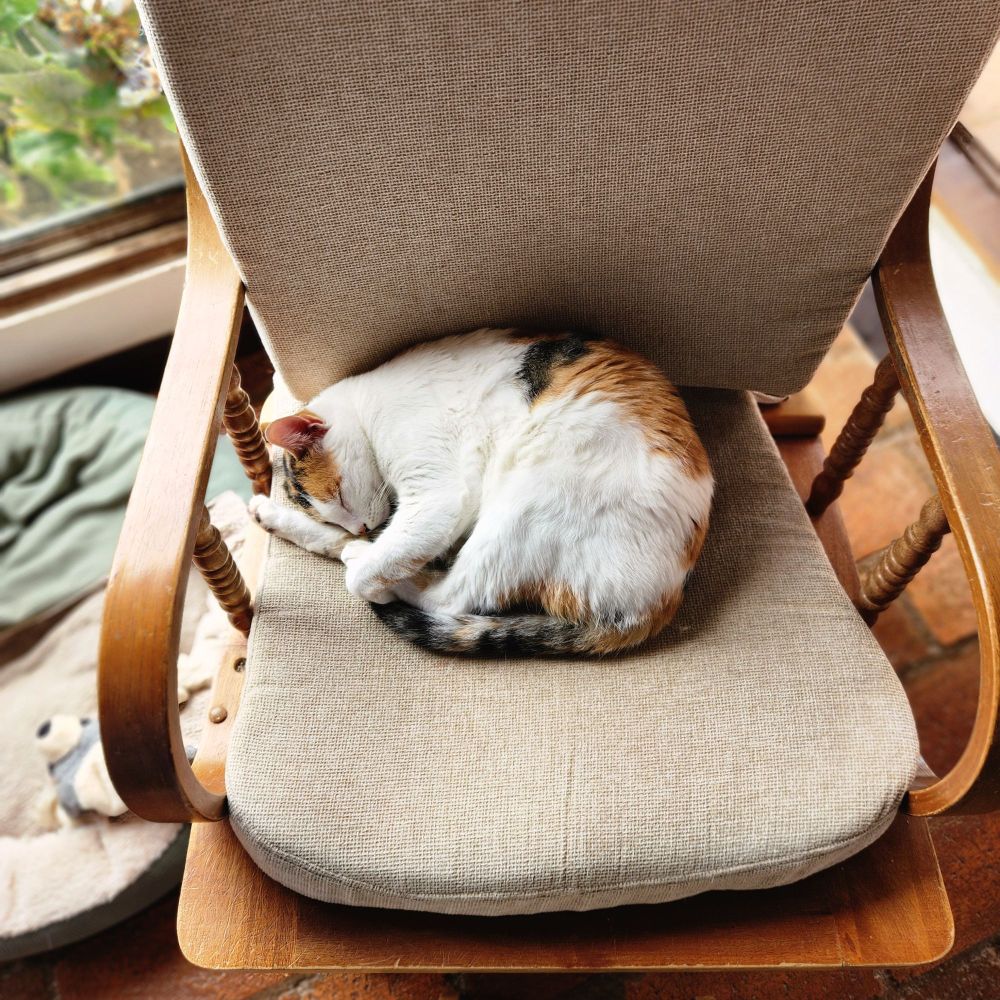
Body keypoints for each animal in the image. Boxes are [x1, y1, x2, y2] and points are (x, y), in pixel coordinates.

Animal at [254, 328, 716, 656]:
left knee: (450, 598)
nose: (359, 527)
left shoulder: (437, 498)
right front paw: (283, 518)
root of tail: (659, 602)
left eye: (340, 492)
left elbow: (372, 571)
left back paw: (368, 566)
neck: (367, 406)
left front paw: (366, 567)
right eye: (331, 511)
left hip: (527, 501)